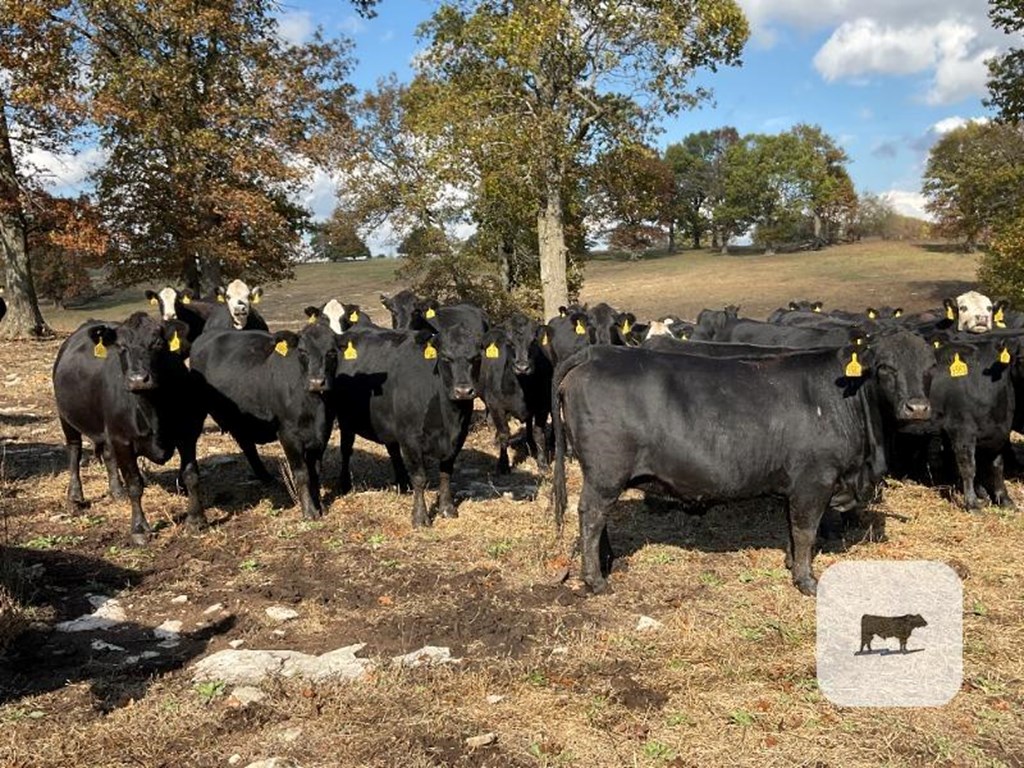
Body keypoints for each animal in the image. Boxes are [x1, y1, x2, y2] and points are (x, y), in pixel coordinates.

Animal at [53, 309, 205, 544]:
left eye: (157, 343)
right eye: (121, 347)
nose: (138, 379)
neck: (154, 409)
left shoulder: (188, 434)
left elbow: (191, 476)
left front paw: (196, 519)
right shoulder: (122, 440)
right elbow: (135, 484)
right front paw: (139, 529)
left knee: (107, 455)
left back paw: (117, 492)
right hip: (66, 417)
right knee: (74, 451)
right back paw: (75, 497)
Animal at [188, 321, 339, 520]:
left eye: (332, 352)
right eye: (302, 351)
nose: (316, 382)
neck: (315, 406)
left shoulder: (323, 433)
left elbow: (315, 473)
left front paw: (319, 506)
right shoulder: (288, 434)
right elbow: (302, 473)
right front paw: (309, 512)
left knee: (247, 445)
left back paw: (265, 476)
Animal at [477, 313, 552, 473]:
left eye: (533, 341)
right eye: (509, 343)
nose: (522, 367)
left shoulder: (543, 406)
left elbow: (539, 433)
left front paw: (542, 464)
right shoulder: (496, 406)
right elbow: (504, 434)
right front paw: (503, 464)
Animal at [552, 333, 937, 598]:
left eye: (930, 367)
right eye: (886, 367)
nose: (917, 408)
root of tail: (598, 351)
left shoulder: (795, 482)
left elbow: (791, 527)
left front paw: (791, 563)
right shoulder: (815, 479)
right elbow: (806, 529)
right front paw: (806, 580)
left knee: (599, 518)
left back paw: (608, 562)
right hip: (606, 473)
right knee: (591, 515)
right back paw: (596, 580)